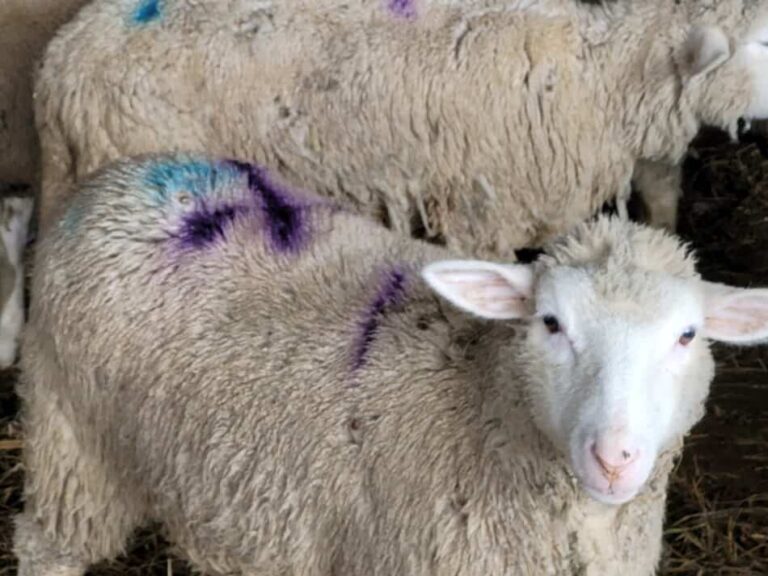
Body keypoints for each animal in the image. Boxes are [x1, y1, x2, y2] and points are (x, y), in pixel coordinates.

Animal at [15, 153, 768, 576]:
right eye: (551, 324)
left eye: (687, 335)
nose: (614, 458)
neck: (480, 410)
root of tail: (122, 179)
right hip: (72, 440)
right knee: (42, 547)